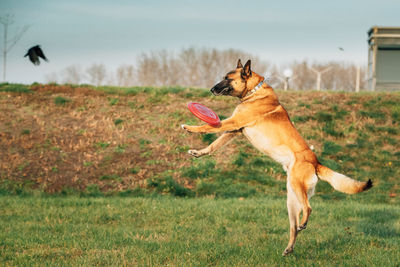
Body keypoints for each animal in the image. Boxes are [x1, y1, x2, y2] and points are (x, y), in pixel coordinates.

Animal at [181, 59, 372, 256]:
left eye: (227, 78)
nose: (211, 89)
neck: (253, 92)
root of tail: (315, 162)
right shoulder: (234, 130)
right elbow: (214, 145)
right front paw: (199, 153)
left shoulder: (232, 123)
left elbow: (207, 126)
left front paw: (190, 127)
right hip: (291, 201)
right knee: (294, 227)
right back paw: (289, 247)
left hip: (297, 187)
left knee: (309, 208)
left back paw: (303, 224)